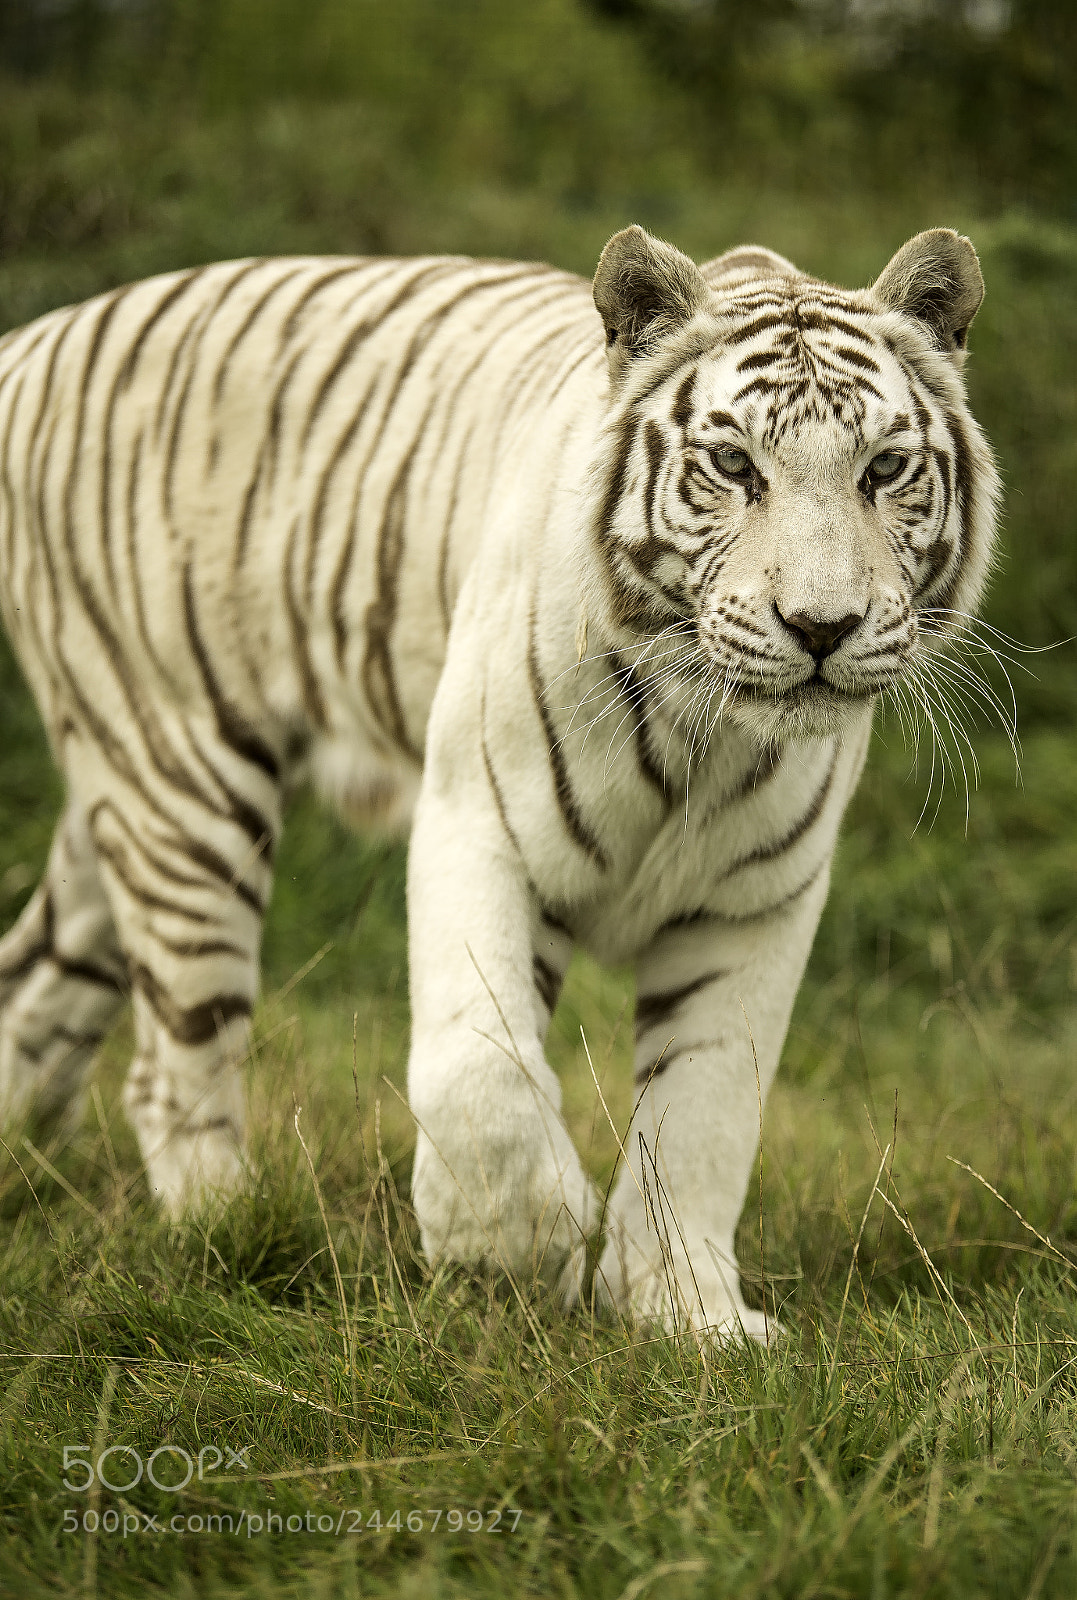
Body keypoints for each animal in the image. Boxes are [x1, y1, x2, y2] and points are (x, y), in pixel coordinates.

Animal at [0, 224, 998, 1338]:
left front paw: (684, 1312)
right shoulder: (482, 820)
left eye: (886, 468)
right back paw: (224, 1232)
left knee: (37, 989)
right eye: (734, 464)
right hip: (187, 783)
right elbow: (478, 1065)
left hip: (121, 799)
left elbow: (706, 1110)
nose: (821, 629)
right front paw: (510, 1248)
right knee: (173, 1061)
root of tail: (38, 339)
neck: (704, 734)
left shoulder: (753, 902)